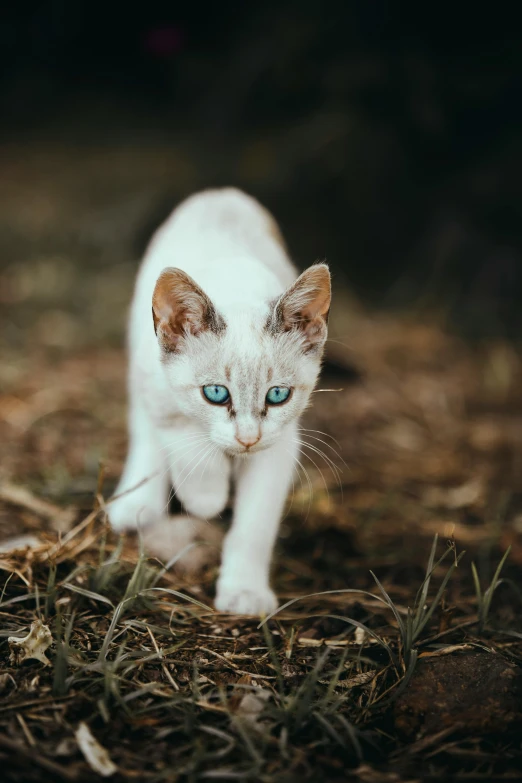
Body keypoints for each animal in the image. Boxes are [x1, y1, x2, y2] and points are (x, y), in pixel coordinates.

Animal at [108, 187, 330, 616]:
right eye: (215, 393)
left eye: (277, 394)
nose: (247, 438)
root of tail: (221, 193)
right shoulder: (155, 385)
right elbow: (181, 438)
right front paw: (207, 497)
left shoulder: (281, 444)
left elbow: (256, 523)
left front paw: (244, 591)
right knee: (143, 429)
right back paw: (136, 503)